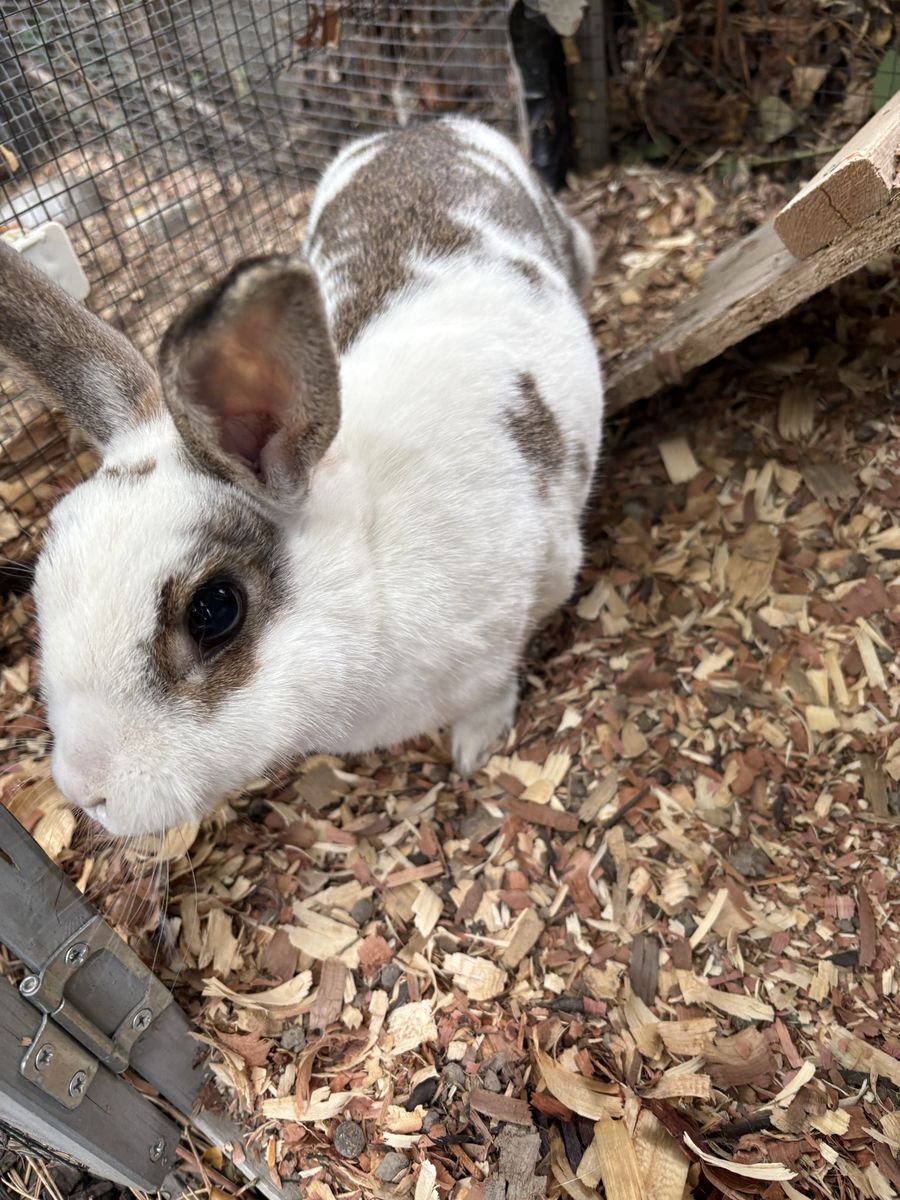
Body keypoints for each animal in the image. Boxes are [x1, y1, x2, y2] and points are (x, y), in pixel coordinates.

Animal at [0, 116, 603, 838]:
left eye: (214, 609)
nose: (85, 790)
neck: (370, 568)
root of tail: (426, 126)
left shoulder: (526, 600)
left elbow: (494, 688)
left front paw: (475, 747)